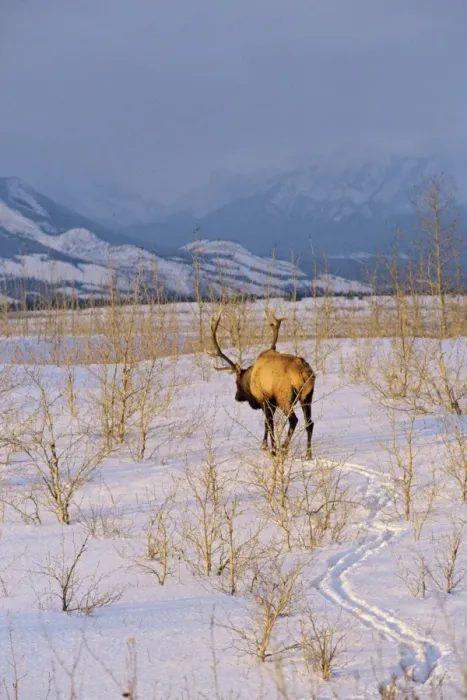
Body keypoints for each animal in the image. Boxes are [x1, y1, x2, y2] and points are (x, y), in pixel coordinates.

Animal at [206, 308, 316, 459]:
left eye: (236, 382)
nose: (236, 397)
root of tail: (304, 373)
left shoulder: (265, 399)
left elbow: (269, 423)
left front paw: (272, 448)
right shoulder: (271, 402)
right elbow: (266, 423)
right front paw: (265, 445)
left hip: (285, 397)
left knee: (294, 420)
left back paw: (283, 448)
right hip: (307, 396)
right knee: (309, 422)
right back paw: (308, 454)